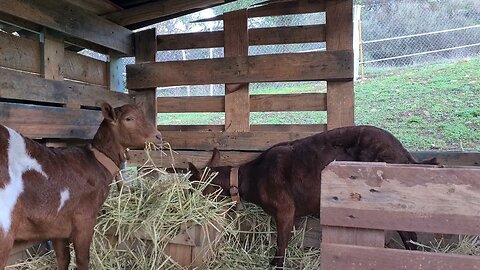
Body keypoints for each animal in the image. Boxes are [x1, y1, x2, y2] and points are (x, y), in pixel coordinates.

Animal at [0, 103, 163, 270]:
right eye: (129, 118)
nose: (158, 136)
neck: (96, 161)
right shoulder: (84, 217)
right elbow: (83, 259)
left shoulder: (57, 225)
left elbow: (63, 259)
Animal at [188, 125, 438, 268]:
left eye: (192, 186)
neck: (250, 177)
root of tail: (404, 154)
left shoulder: (285, 211)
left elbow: (280, 247)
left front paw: (275, 265)